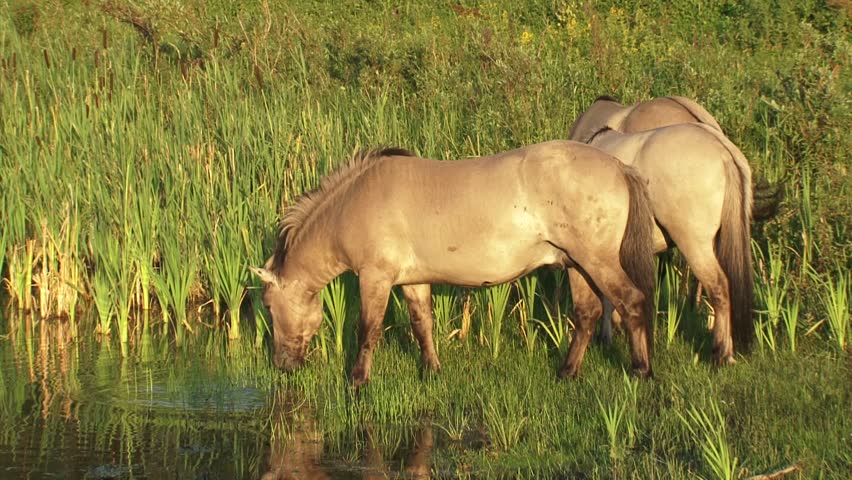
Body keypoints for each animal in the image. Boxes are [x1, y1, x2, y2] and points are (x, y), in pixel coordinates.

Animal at [252, 141, 657, 386]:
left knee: (632, 303)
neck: (354, 201)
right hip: (576, 265)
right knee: (587, 315)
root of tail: (619, 167)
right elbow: (422, 325)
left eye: (269, 306)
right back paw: (566, 372)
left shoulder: (375, 278)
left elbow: (368, 330)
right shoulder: (412, 281)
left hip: (598, 262)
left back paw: (641, 370)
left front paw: (357, 380)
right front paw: (431, 369)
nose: (281, 364)